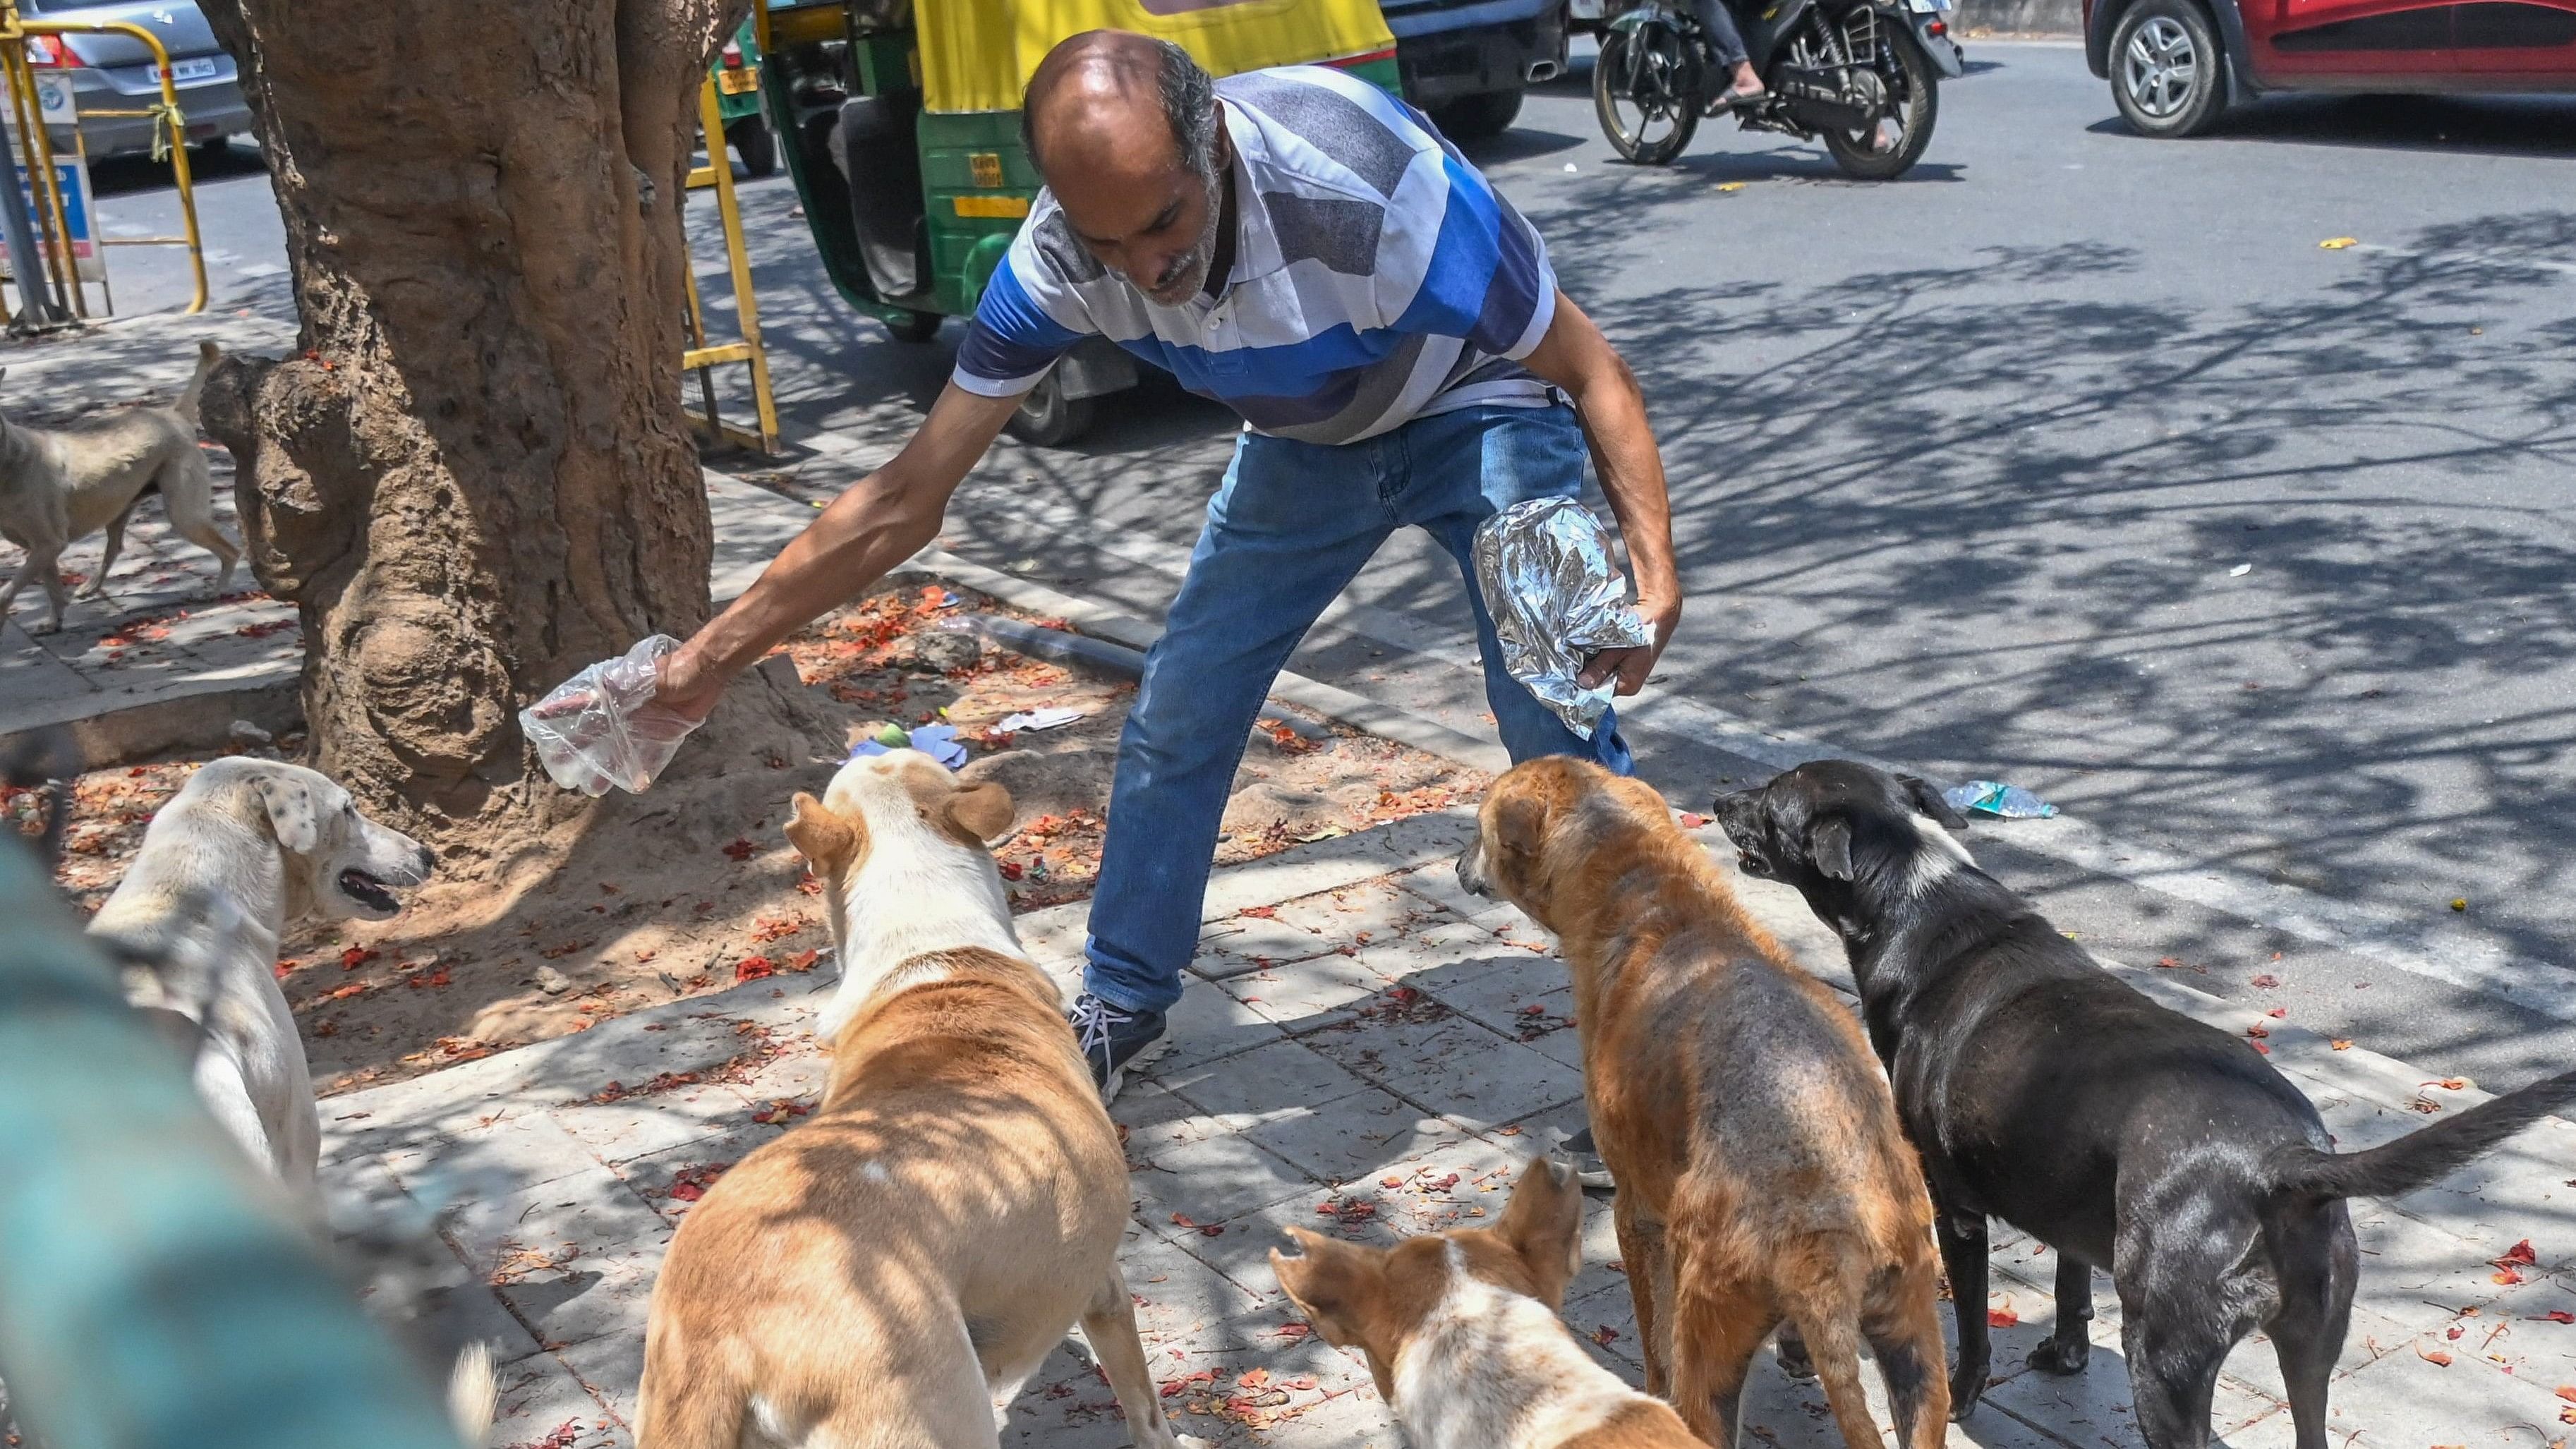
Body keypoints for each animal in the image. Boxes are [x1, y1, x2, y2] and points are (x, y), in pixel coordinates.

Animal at [0, 342, 241, 638]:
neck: (9, 458)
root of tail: (171, 414)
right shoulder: (43, 548)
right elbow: (53, 588)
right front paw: (53, 622)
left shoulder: (48, 544)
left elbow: (8, 590)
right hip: (120, 508)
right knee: (115, 547)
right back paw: (90, 586)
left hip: (186, 516)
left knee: (230, 551)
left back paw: (216, 592)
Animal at [634, 746, 1195, 1449]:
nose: (866, 744)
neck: (929, 945)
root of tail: (724, 1338)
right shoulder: (1104, 1287)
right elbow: (1145, 1409)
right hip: (931, 1414)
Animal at [1710, 761, 2576, 1449]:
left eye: (1775, 793)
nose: (1719, 797)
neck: (1920, 896)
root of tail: (2285, 1161)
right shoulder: (2063, 1187)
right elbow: (2068, 1279)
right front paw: (2063, 1353)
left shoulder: (1954, 1207)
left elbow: (1974, 1327)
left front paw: (1960, 1397)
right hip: (2311, 1348)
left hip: (2164, 1354)